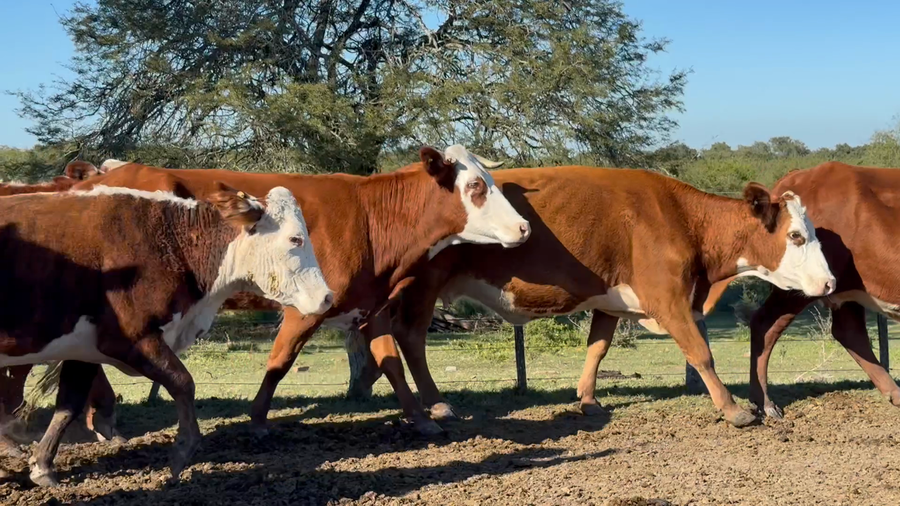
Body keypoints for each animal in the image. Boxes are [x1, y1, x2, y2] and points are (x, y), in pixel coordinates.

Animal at [0, 184, 333, 486]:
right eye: (295, 238)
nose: (327, 297)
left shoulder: (83, 349)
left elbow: (67, 406)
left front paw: (42, 466)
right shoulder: (132, 339)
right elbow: (183, 382)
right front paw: (181, 452)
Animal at [54, 145, 531, 436]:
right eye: (475, 186)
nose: (525, 227)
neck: (370, 216)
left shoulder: (371, 306)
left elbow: (390, 363)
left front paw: (422, 419)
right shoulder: (307, 308)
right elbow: (280, 361)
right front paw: (257, 420)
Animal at [384, 165, 836, 428]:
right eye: (796, 236)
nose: (830, 283)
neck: (681, 217)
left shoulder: (609, 300)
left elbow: (597, 349)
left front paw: (588, 400)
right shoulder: (668, 300)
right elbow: (701, 353)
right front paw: (733, 408)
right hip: (422, 287)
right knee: (409, 339)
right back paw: (435, 405)